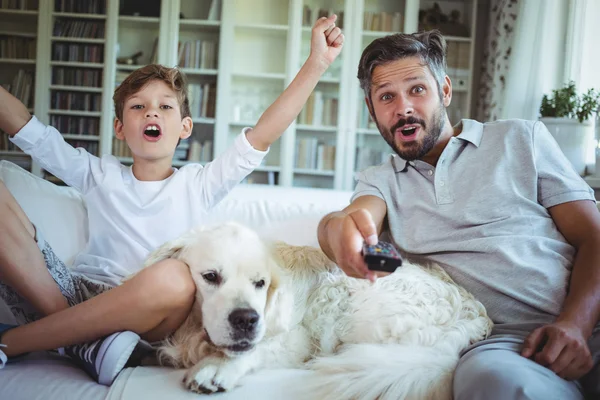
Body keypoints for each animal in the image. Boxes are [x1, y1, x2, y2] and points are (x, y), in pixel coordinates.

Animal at [142, 222, 492, 400]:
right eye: (211, 276)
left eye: (261, 283)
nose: (247, 320)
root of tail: (473, 312)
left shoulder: (297, 337)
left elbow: (261, 348)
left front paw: (217, 368)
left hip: (337, 294)